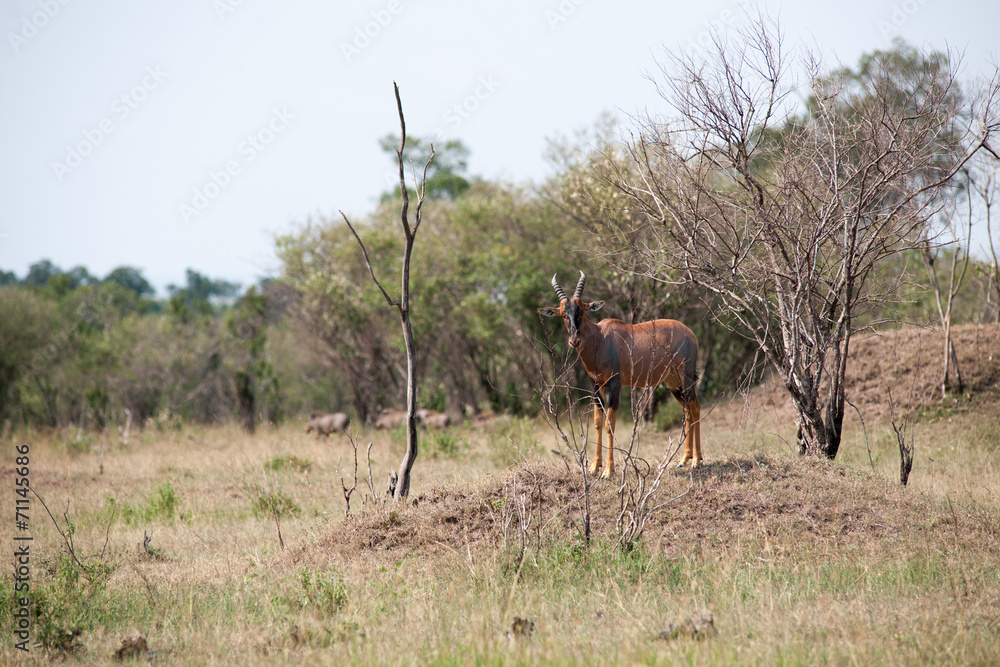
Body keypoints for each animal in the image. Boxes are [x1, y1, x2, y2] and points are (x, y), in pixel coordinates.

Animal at [538, 272, 702, 478]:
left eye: (582, 311)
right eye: (563, 314)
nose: (574, 341)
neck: (601, 338)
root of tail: (690, 333)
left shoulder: (616, 384)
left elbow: (610, 424)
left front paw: (608, 470)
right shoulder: (595, 385)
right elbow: (598, 422)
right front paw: (594, 467)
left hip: (686, 376)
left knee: (695, 408)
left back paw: (697, 461)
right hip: (673, 381)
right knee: (687, 410)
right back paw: (685, 459)